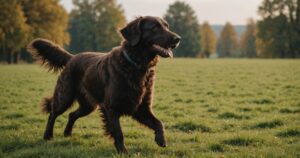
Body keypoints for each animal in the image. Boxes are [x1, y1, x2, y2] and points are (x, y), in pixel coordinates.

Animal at [27, 16, 180, 153]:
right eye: (155, 28)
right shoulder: (111, 108)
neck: (135, 65)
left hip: (88, 106)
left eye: (167, 26)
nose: (178, 38)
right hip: (64, 96)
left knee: (71, 115)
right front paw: (123, 152)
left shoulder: (141, 107)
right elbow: (118, 132)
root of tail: (72, 57)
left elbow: (159, 123)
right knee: (52, 114)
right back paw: (48, 135)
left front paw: (161, 140)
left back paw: (67, 133)